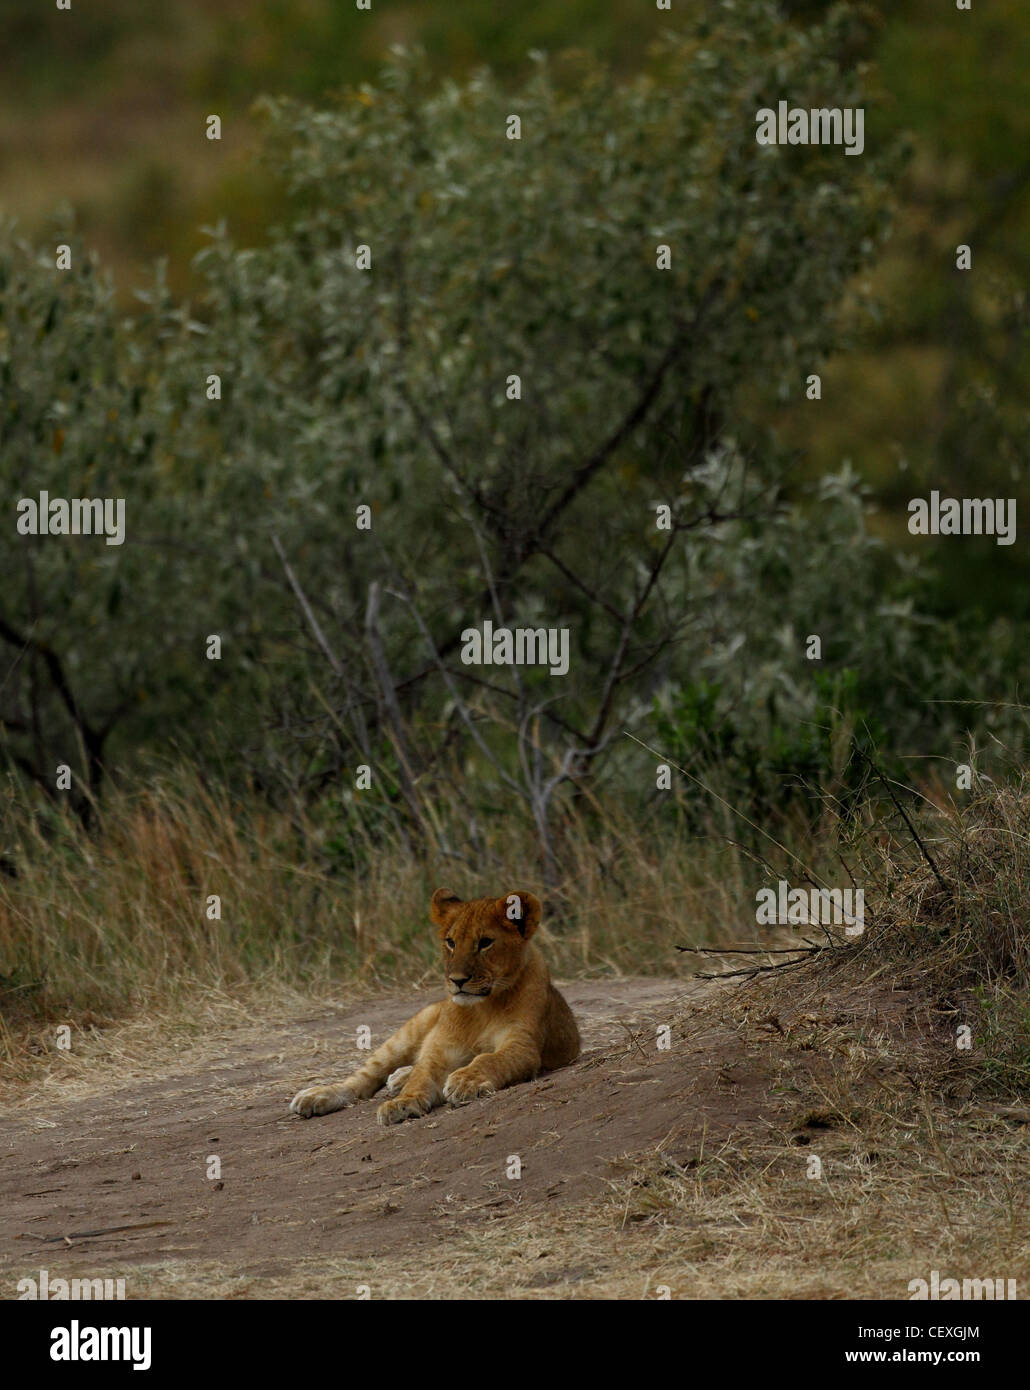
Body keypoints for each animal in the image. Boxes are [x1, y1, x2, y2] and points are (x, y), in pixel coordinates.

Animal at [289, 888, 580, 1126]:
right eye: (450, 942)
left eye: (485, 942)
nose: (458, 980)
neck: (482, 1008)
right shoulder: (441, 1050)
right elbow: (422, 1075)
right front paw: (402, 1103)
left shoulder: (523, 1045)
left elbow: (490, 1059)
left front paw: (465, 1080)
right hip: (408, 1032)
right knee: (362, 1079)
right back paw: (317, 1096)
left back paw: (398, 1077)